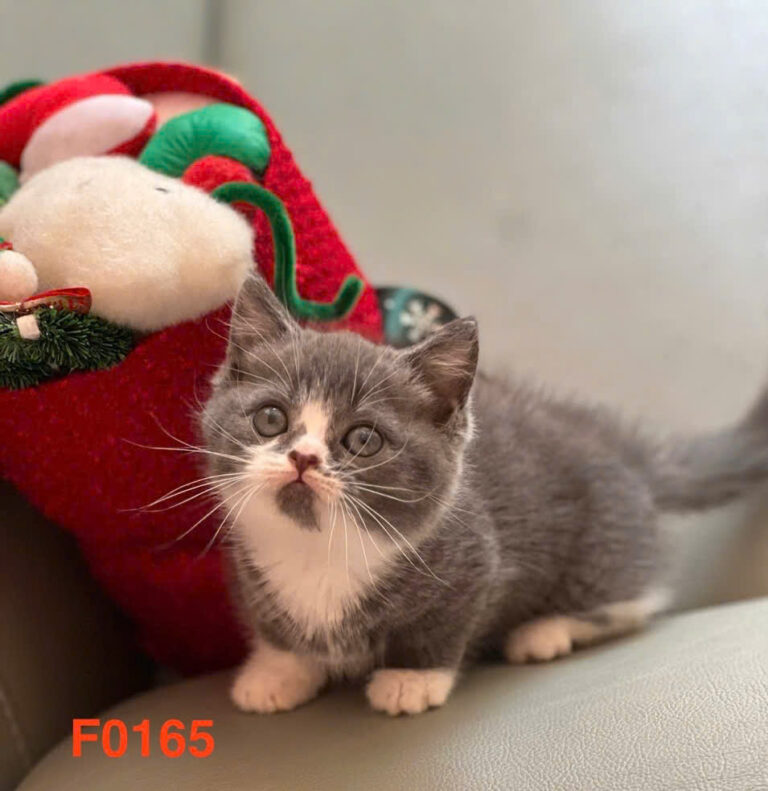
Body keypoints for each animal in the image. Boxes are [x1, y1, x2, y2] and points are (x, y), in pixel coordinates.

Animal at [201, 274, 768, 716]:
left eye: (363, 440)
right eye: (270, 418)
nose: (302, 458)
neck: (318, 550)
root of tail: (617, 444)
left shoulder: (475, 562)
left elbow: (441, 628)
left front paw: (411, 679)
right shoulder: (248, 572)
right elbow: (275, 631)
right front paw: (277, 672)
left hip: (602, 545)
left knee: (636, 599)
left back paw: (545, 631)